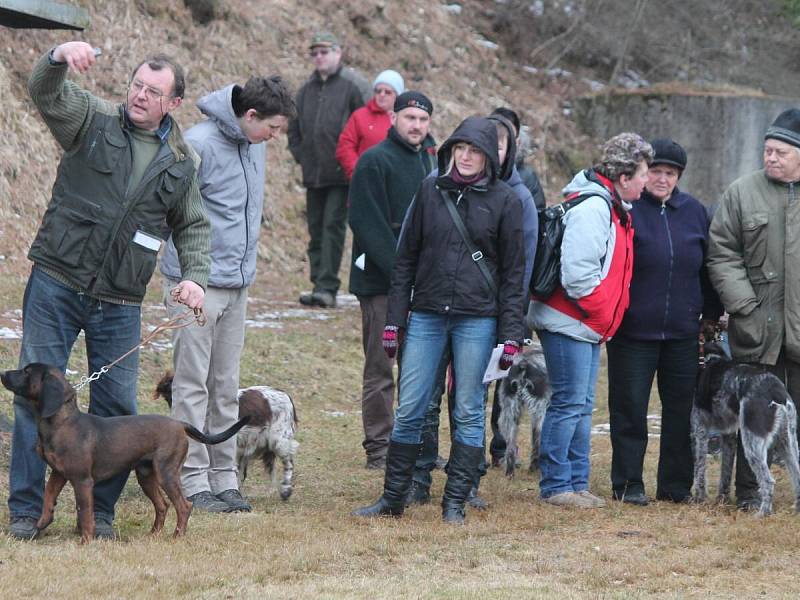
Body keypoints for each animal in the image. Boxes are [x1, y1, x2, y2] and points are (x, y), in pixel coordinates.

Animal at [0, 364, 250, 540]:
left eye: (26, 372)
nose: (2, 373)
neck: (63, 423)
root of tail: (180, 424)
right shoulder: (58, 474)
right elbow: (48, 496)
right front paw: (42, 522)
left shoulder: (82, 481)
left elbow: (85, 512)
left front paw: (85, 541)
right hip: (146, 475)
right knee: (163, 505)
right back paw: (153, 535)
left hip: (166, 473)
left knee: (183, 506)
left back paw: (177, 536)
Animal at [496, 346, 552, 478]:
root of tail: (523, 364)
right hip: (541, 412)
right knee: (538, 443)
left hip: (508, 414)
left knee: (511, 447)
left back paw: (510, 473)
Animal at [692, 342, 800, 516]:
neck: (709, 360)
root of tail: (776, 391)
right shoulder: (729, 435)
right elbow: (725, 473)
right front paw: (722, 499)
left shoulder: (699, 430)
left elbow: (700, 469)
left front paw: (699, 499)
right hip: (787, 442)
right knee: (797, 476)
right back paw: (796, 509)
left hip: (752, 444)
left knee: (768, 481)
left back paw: (763, 513)